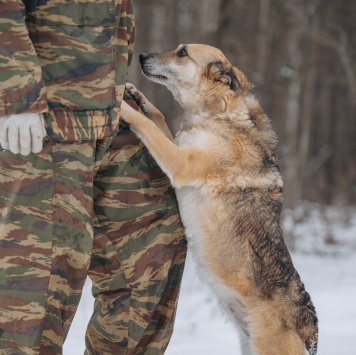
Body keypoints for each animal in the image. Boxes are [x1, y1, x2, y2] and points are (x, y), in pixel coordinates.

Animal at [121, 44, 318, 355]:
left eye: (182, 53)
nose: (141, 56)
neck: (217, 114)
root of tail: (310, 334)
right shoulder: (180, 148)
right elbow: (158, 118)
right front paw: (137, 96)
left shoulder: (180, 163)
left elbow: (147, 126)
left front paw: (123, 107)